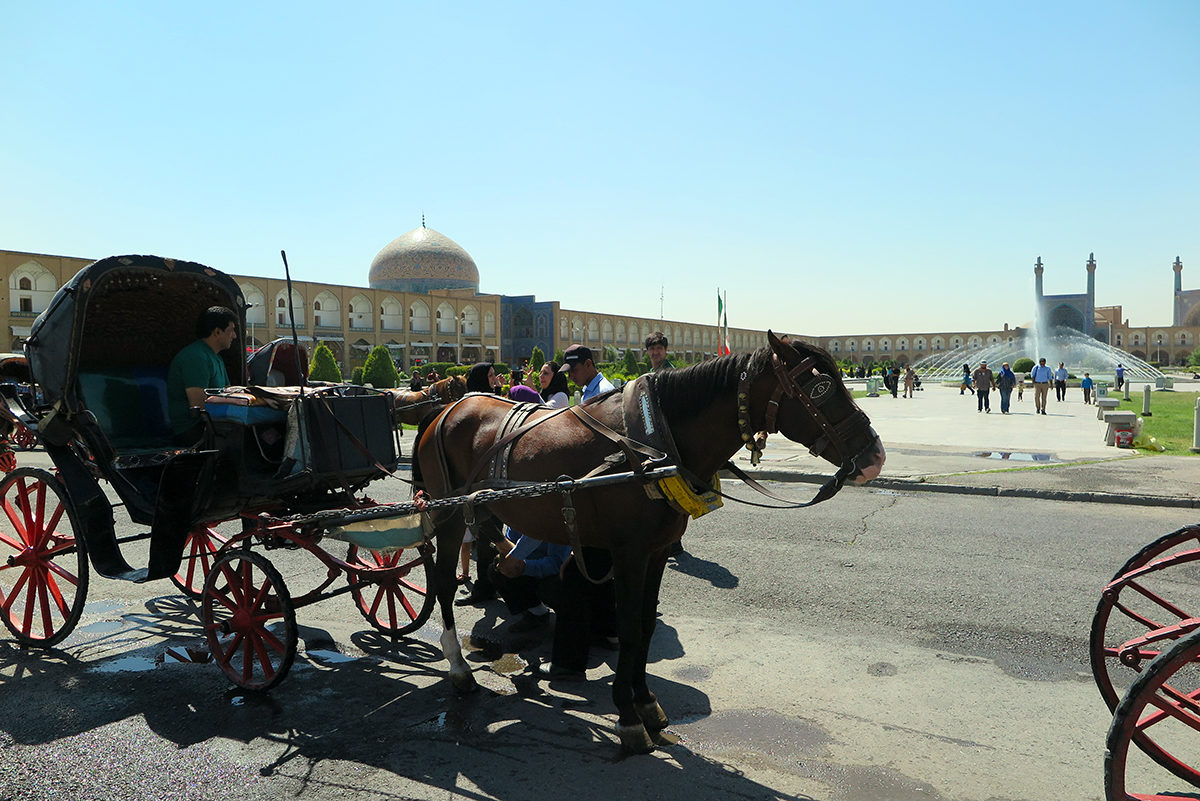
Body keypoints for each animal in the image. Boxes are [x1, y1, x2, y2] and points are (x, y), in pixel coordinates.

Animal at [412, 330, 883, 753]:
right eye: (821, 388)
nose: (875, 457)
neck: (654, 445)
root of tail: (446, 410)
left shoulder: (655, 553)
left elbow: (644, 625)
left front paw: (646, 704)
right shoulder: (629, 553)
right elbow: (629, 626)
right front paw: (627, 716)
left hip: (481, 508)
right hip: (449, 513)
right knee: (443, 581)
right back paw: (458, 668)